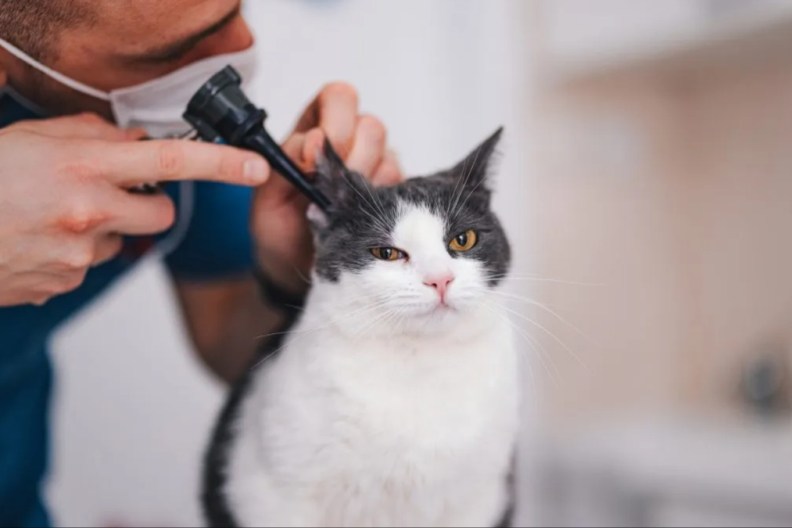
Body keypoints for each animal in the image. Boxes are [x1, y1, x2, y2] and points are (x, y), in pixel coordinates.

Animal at [203, 129, 520, 528]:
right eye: (387, 253)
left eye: (463, 240)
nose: (440, 279)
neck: (418, 365)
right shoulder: (269, 493)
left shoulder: (479, 499)